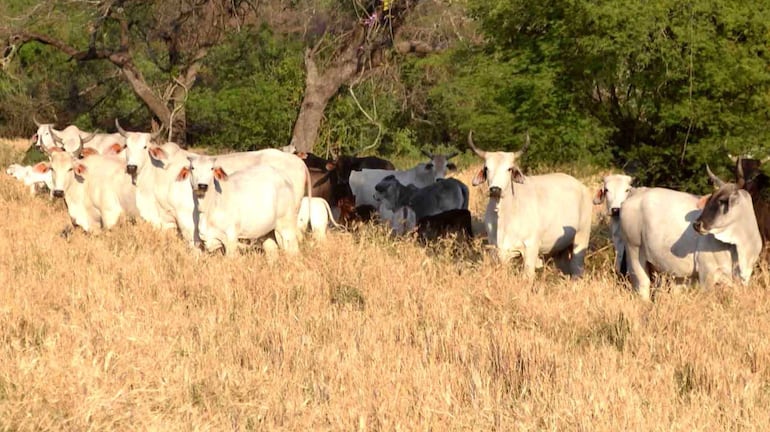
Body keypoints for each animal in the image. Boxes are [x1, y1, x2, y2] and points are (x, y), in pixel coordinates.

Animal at [464, 132, 592, 276]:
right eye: (486, 168)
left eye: (509, 169)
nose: (495, 189)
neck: (505, 215)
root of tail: (582, 187)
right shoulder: (496, 250)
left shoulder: (531, 248)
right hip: (560, 250)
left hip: (581, 239)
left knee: (577, 269)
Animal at [620, 170, 760, 298]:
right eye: (711, 198)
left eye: (722, 201)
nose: (697, 224)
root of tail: (637, 193)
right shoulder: (707, 273)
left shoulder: (744, 277)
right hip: (634, 253)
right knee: (642, 286)